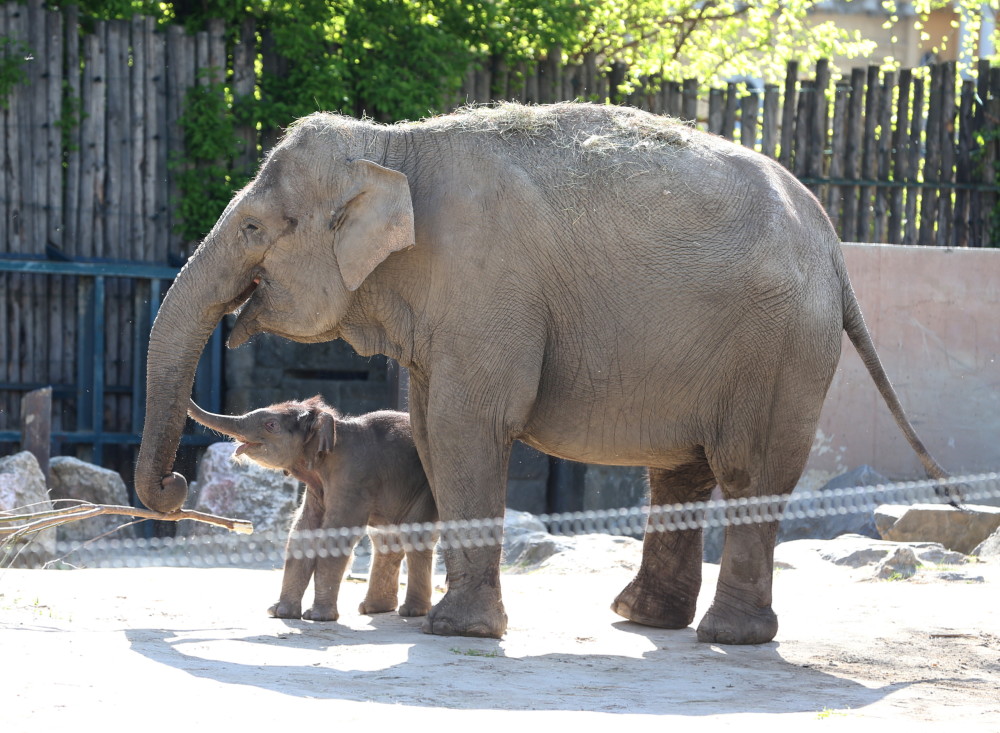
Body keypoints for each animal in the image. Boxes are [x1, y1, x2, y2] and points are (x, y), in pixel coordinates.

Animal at [188, 398, 438, 620]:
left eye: (271, 424)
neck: (336, 428)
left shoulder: (354, 479)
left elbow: (335, 534)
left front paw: (317, 617)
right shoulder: (317, 488)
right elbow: (302, 532)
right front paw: (279, 613)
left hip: (425, 489)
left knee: (415, 537)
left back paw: (412, 611)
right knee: (385, 540)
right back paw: (373, 609)